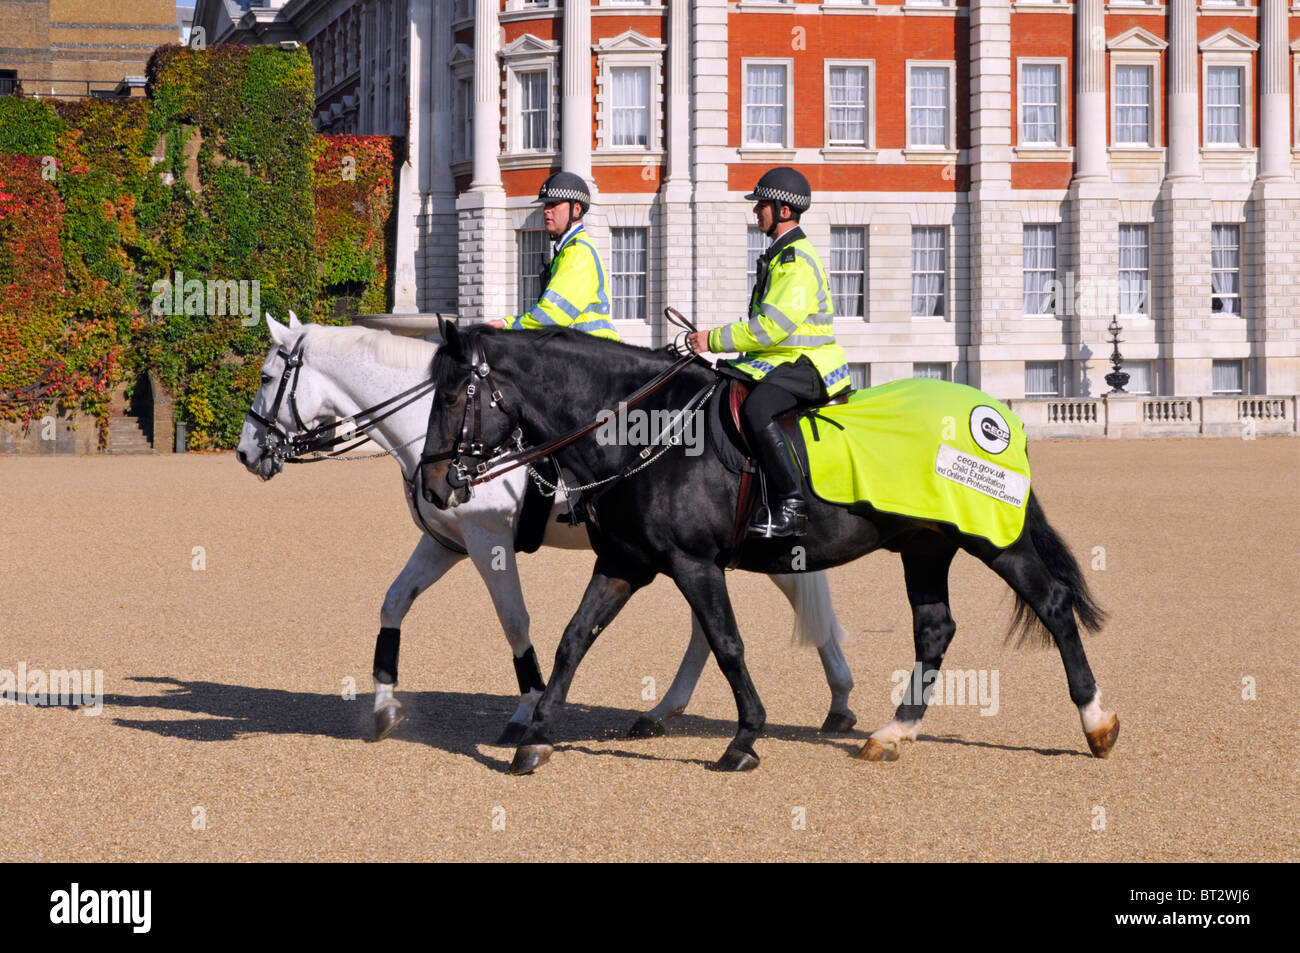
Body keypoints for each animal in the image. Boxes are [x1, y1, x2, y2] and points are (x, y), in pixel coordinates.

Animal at [418, 325, 1118, 774]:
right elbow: (573, 639)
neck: (650, 435)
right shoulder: (624, 563)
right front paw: (535, 738)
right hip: (924, 547)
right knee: (935, 629)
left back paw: (1096, 722)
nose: (432, 484)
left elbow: (727, 644)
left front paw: (745, 738)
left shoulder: (692, 564)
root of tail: (998, 412)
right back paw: (894, 733)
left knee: (1054, 605)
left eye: (451, 396)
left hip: (994, 541)